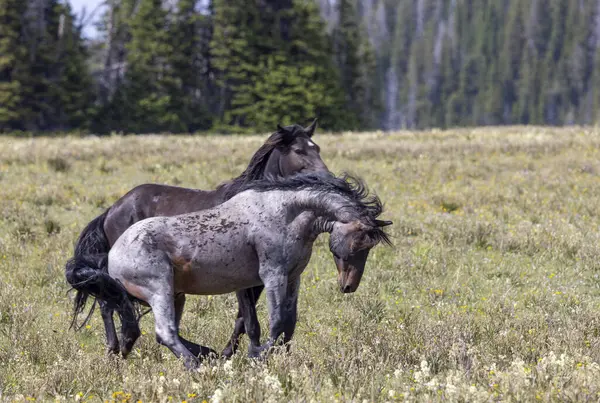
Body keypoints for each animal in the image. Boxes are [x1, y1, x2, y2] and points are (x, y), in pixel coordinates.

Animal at [65, 120, 328, 360]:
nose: (325, 177)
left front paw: (230, 353)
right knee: (108, 304)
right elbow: (251, 322)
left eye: (317, 148)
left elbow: (242, 321)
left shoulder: (257, 282)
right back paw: (114, 349)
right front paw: (245, 355)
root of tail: (112, 209)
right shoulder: (243, 284)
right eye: (299, 151)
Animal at [103, 174, 392, 370]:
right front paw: (259, 356)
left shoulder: (292, 279)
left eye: (369, 247)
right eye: (357, 244)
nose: (348, 286)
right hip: (160, 290)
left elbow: (288, 324)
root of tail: (113, 254)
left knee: (154, 332)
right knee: (165, 332)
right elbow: (276, 322)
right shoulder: (273, 276)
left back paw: (204, 355)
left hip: (174, 295)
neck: (285, 214)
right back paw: (198, 366)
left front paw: (278, 358)